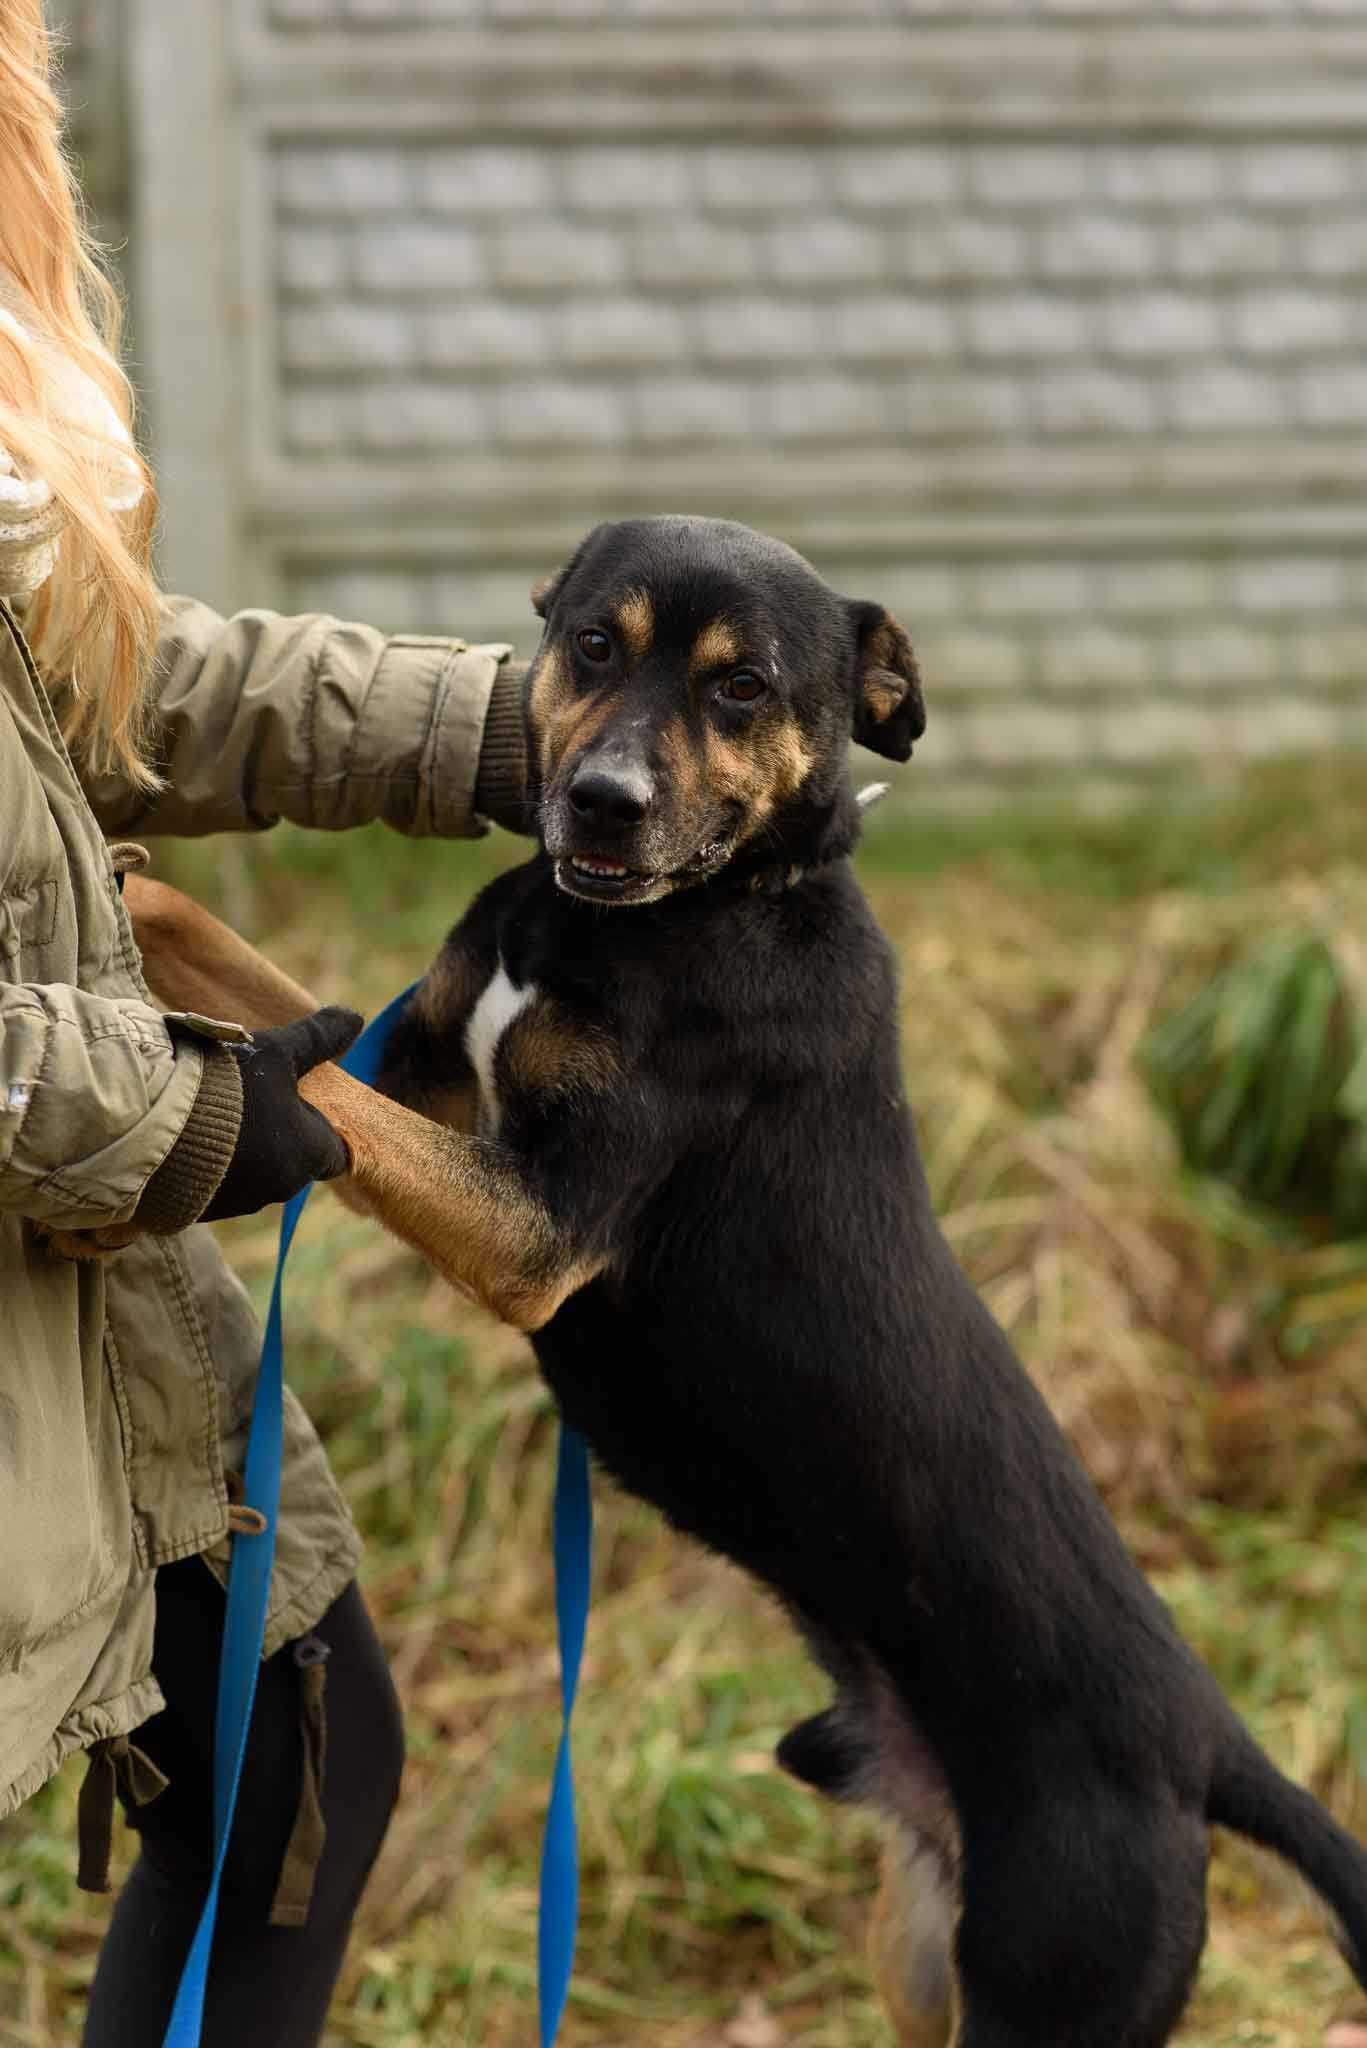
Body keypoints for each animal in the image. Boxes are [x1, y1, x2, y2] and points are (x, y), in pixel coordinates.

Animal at [125, 520, 1367, 2039]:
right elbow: (255, 993)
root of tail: (1207, 1746)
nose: (598, 805)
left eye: (741, 687)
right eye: (592, 643)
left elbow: (312, 1097)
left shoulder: (529, 1229)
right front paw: (115, 873)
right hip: (920, 1959)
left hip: (1056, 1977)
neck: (671, 913)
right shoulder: (416, 1067)